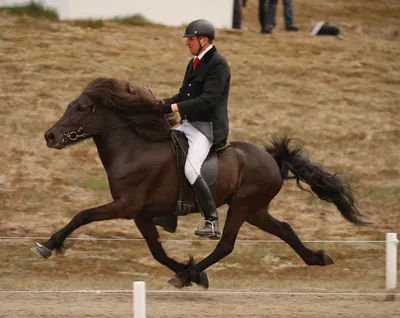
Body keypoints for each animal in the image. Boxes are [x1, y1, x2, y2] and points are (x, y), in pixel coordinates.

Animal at [32, 76, 368, 288]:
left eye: (80, 108)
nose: (49, 136)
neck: (133, 147)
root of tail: (272, 159)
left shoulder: (126, 205)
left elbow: (82, 215)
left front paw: (48, 245)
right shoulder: (140, 214)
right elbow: (157, 251)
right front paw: (189, 272)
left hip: (242, 206)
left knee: (226, 245)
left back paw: (188, 275)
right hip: (255, 209)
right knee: (284, 229)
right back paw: (316, 258)